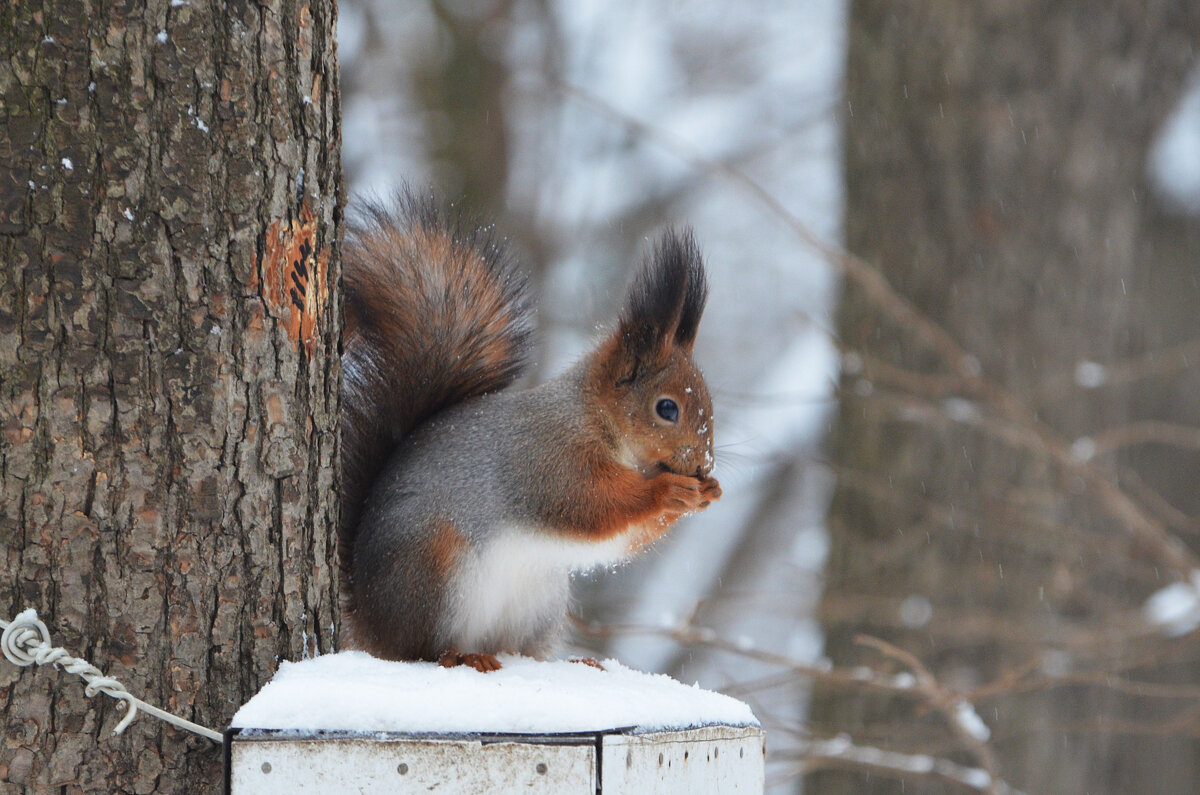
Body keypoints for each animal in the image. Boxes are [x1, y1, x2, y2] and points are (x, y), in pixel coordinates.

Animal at [338, 193, 720, 672]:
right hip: (433, 568)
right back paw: (461, 656)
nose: (704, 463)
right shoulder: (548, 460)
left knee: (519, 650)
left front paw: (706, 493)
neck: (591, 418)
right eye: (666, 408)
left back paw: (571, 663)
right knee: (416, 649)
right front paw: (667, 491)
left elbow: (619, 541)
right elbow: (590, 506)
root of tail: (367, 620)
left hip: (541, 601)